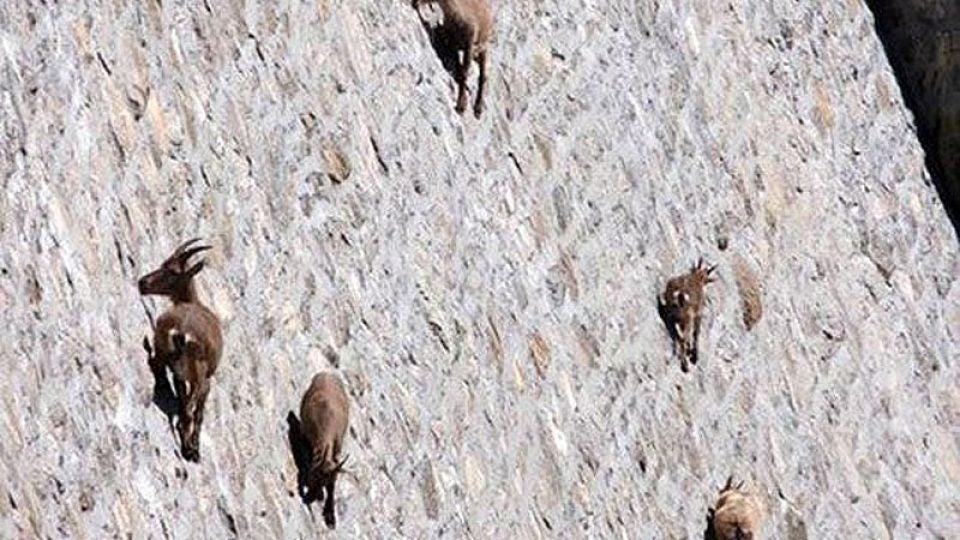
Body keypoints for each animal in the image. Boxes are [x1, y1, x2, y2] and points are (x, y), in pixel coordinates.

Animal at [138, 238, 223, 462]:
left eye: (172, 271)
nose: (142, 283)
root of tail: (182, 331)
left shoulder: (180, 375)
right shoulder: (206, 380)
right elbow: (197, 414)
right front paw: (194, 447)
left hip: (171, 357)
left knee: (157, 365)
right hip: (197, 374)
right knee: (189, 411)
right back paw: (189, 450)